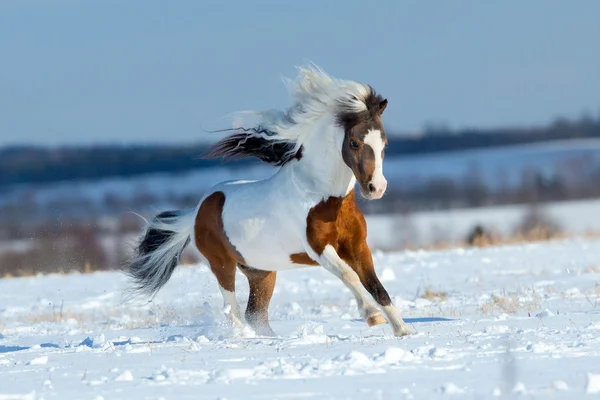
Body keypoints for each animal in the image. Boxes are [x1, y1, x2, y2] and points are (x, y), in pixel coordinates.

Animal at [124, 65, 410, 338]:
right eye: (354, 143)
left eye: (384, 143)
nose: (376, 188)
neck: (324, 198)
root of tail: (197, 210)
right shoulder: (319, 249)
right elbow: (349, 275)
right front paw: (372, 316)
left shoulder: (358, 246)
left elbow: (376, 286)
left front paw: (403, 330)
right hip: (222, 265)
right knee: (233, 310)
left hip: (261, 271)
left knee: (255, 313)